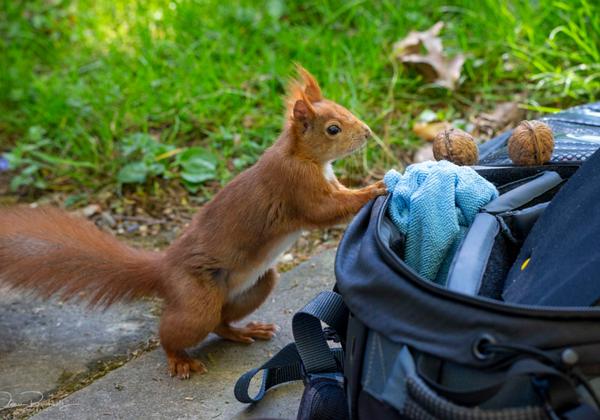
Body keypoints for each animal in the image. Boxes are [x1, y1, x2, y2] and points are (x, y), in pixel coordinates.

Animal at [0, 65, 384, 378]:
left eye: (345, 111)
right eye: (333, 129)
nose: (367, 132)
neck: (302, 156)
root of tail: (164, 270)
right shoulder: (296, 188)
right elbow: (324, 212)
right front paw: (375, 188)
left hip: (254, 285)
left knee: (221, 323)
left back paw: (244, 331)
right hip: (196, 301)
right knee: (175, 332)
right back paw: (179, 359)